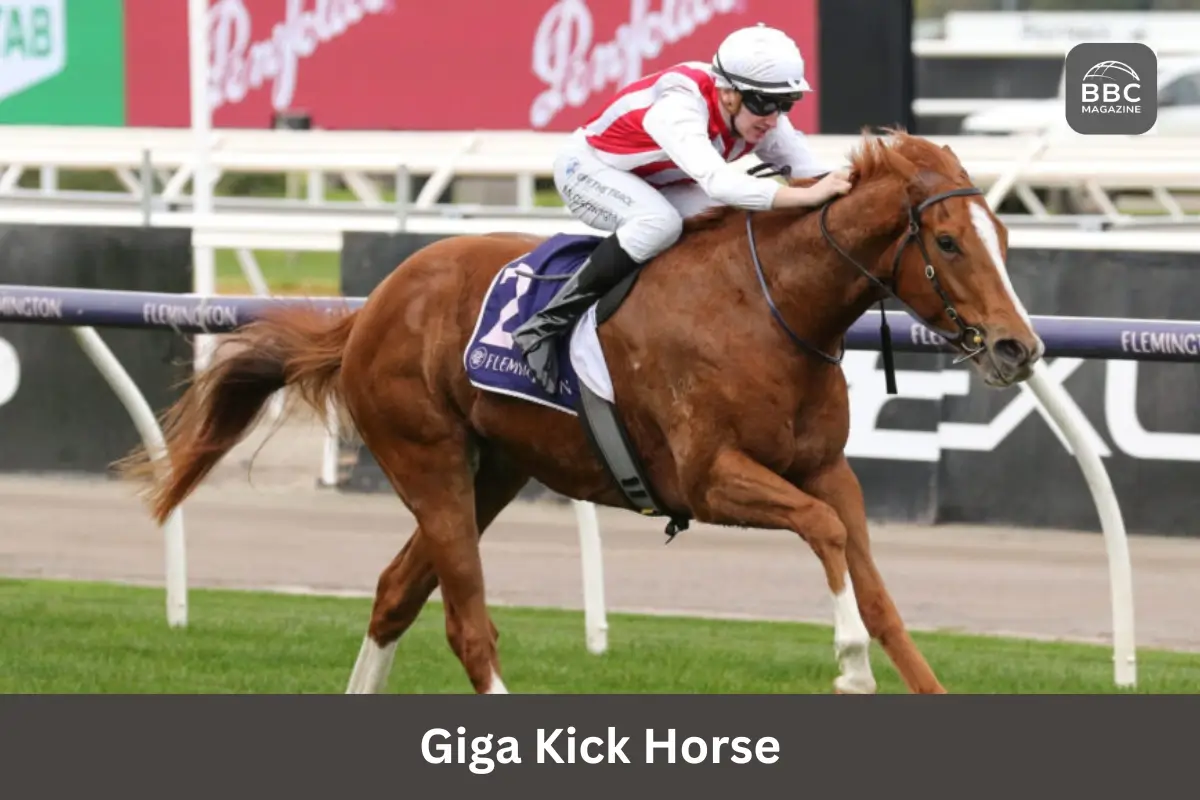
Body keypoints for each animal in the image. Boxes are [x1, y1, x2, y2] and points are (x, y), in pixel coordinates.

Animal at [117, 128, 1044, 695]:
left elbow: (870, 580)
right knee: (466, 623)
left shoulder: (826, 468)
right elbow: (820, 533)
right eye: (948, 241)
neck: (768, 305)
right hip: (429, 460)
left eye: (1003, 237)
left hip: (491, 471)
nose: (1019, 347)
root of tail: (370, 310)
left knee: (393, 595)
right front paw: (849, 667)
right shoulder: (708, 479)